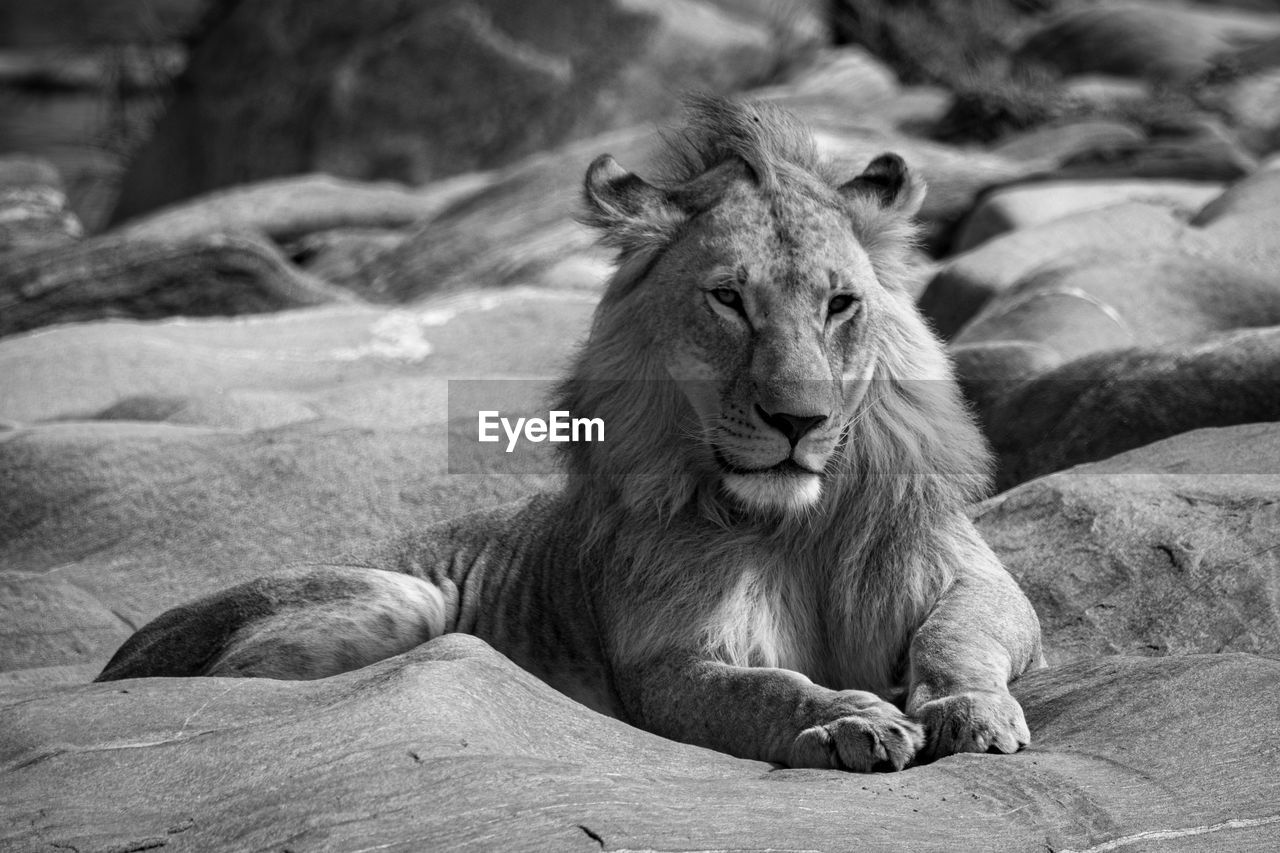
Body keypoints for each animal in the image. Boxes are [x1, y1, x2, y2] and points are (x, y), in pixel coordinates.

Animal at [97, 94, 1039, 768]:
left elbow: (958, 634)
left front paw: (970, 709)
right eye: (728, 300)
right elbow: (767, 689)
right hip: (402, 598)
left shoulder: (976, 580)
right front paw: (849, 717)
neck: (794, 525)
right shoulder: (663, 662)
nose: (799, 421)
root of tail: (114, 660)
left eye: (840, 303)